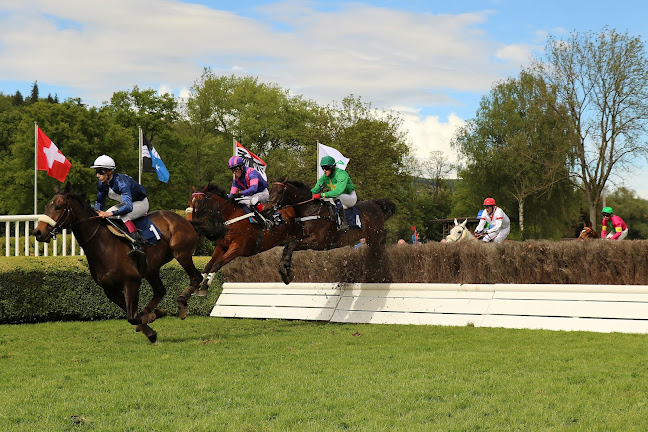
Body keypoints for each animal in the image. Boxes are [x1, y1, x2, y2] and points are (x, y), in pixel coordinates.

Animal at [32, 181, 202, 342]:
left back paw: (181, 304)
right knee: (160, 290)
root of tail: (184, 220)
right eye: (47, 206)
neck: (103, 245)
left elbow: (132, 317)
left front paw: (150, 318)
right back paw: (153, 311)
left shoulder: (131, 281)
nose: (38, 232)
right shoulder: (109, 289)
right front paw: (151, 326)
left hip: (182, 254)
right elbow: (131, 315)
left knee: (196, 277)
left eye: (58, 206)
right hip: (151, 269)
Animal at [264, 177, 394, 286]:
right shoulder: (304, 239)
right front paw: (286, 273)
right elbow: (288, 247)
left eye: (279, 191)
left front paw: (286, 272)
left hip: (375, 237)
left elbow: (291, 244)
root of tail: (375, 204)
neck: (311, 210)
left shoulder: (319, 242)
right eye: (270, 190)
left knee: (379, 248)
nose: (266, 209)